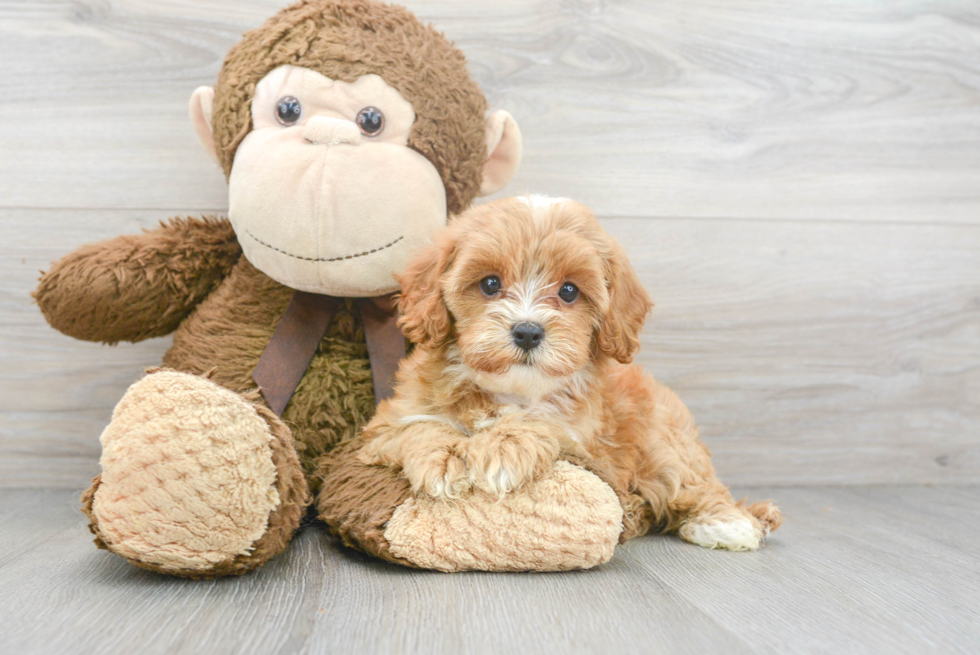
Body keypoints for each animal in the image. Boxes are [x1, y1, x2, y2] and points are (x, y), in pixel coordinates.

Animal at [360, 196, 780, 552]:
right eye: (490, 283)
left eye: (569, 291)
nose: (528, 331)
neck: (508, 392)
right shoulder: (380, 431)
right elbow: (417, 426)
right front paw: (443, 459)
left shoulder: (582, 439)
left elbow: (542, 423)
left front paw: (502, 448)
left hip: (666, 442)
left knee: (694, 485)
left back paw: (726, 524)